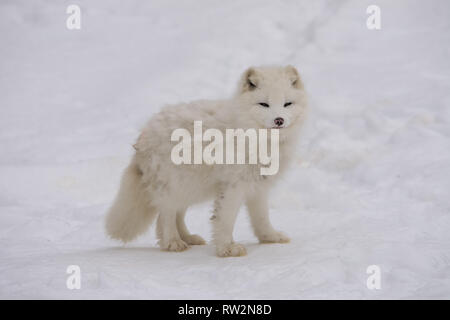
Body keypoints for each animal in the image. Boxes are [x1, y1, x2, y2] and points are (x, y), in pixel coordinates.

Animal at [106, 65, 308, 258]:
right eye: (264, 104)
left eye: (287, 104)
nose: (279, 120)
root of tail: (144, 133)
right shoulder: (233, 186)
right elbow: (225, 220)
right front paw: (227, 248)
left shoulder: (259, 186)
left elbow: (261, 218)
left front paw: (270, 238)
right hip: (174, 185)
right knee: (165, 215)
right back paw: (173, 242)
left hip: (190, 187)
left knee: (176, 214)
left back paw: (188, 238)